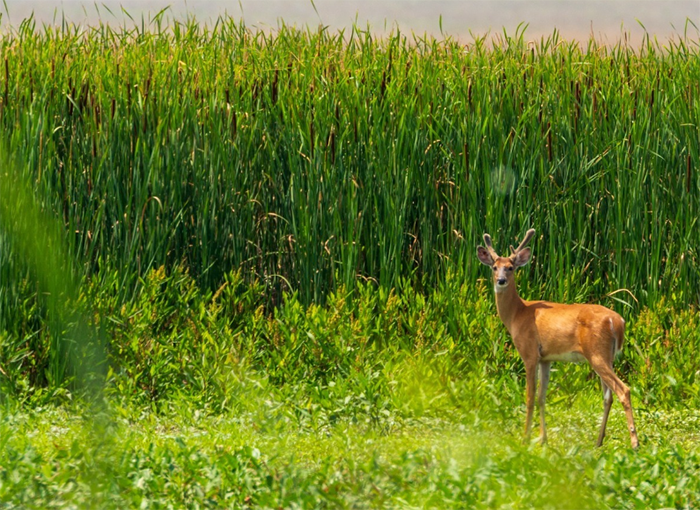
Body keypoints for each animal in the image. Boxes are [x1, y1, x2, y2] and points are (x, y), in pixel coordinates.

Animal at [476, 228, 639, 449]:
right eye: (494, 267)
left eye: (510, 268)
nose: (501, 281)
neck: (517, 314)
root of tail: (618, 321)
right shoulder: (546, 358)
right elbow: (541, 397)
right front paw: (542, 439)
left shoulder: (529, 353)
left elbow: (529, 397)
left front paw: (525, 438)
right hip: (608, 356)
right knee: (608, 396)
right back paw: (598, 442)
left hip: (596, 353)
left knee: (623, 390)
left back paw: (634, 442)